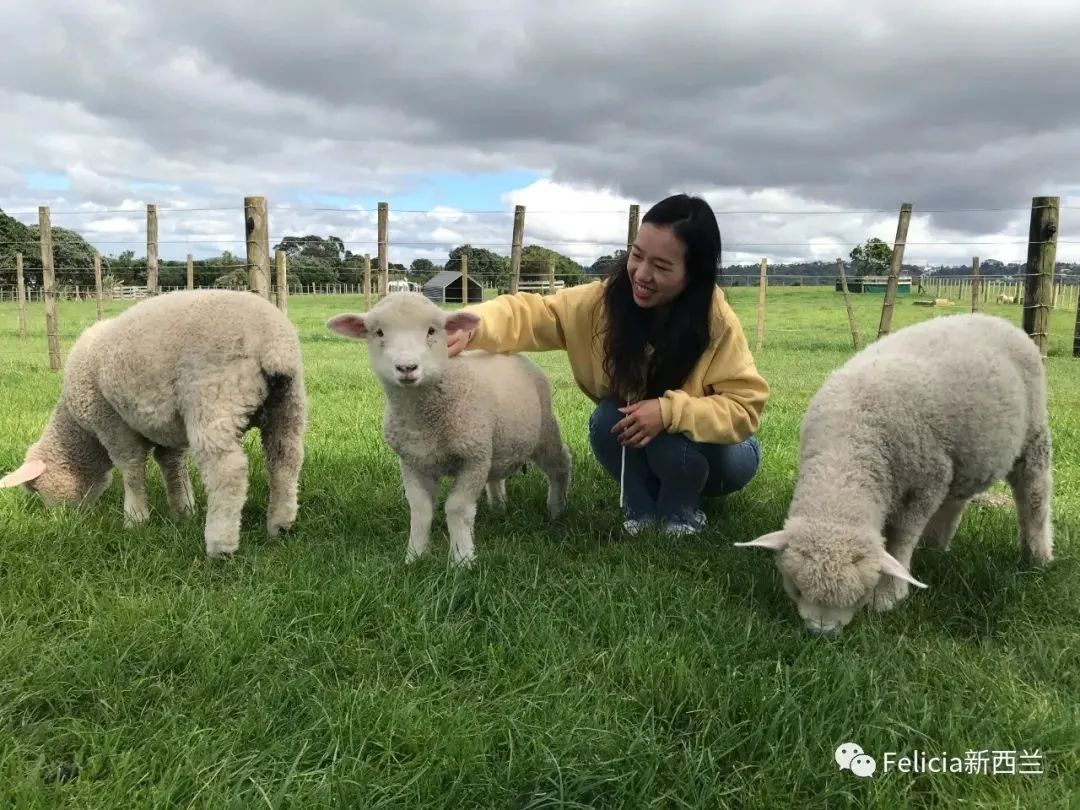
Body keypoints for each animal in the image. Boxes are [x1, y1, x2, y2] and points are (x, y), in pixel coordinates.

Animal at [0, 289, 306, 561]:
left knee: (228, 472)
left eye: (35, 488)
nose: (61, 519)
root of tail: (272, 343)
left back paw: (220, 545)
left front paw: (135, 519)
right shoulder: (166, 430)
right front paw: (183, 511)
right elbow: (172, 467)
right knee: (285, 459)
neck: (81, 433)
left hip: (214, 398)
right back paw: (280, 525)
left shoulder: (112, 423)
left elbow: (132, 470)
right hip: (288, 404)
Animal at [324, 293, 574, 570]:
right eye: (378, 332)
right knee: (496, 474)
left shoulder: (473, 458)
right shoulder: (413, 460)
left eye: (432, 330)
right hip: (495, 442)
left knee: (560, 464)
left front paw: (462, 560)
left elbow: (458, 509)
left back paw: (556, 509)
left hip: (543, 431)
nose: (407, 367)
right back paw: (499, 507)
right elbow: (420, 509)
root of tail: (518, 356)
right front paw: (415, 557)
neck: (423, 421)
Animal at [738, 313, 1049, 639]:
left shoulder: (926, 483)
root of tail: (995, 319)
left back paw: (1037, 554)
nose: (823, 633)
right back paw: (937, 546)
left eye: (860, 596)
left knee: (1034, 493)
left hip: (1033, 433)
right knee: (957, 500)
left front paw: (889, 593)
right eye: (796, 589)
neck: (847, 453)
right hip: (965, 456)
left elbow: (902, 535)